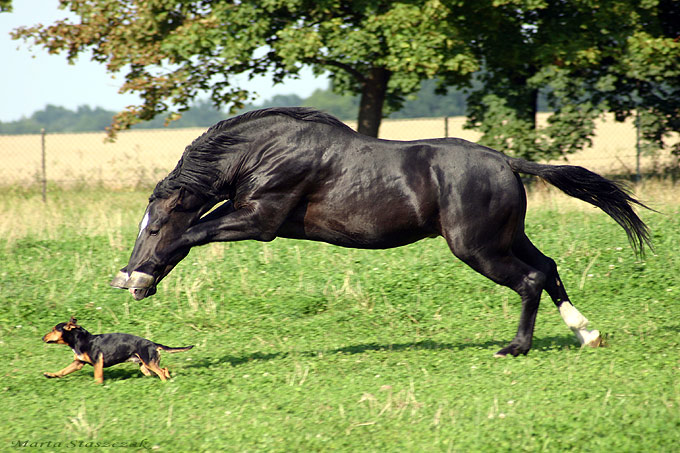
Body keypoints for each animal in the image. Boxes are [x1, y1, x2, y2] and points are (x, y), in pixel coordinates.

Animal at [41, 316, 193, 384]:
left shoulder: (97, 363)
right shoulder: (78, 363)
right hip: (145, 366)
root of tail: (153, 344)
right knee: (164, 370)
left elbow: (98, 376)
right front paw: (50, 374)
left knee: (161, 371)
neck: (80, 340)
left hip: (149, 362)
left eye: (54, 329)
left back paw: (165, 383)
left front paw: (98, 386)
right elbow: (62, 371)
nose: (42, 337)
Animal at [113, 107, 652, 356]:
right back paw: (587, 333)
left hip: (476, 247)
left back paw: (515, 347)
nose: (125, 281)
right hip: (506, 237)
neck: (265, 152)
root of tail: (505, 161)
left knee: (530, 279)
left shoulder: (259, 219)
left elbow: (192, 234)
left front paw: (146, 272)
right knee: (549, 267)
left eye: (154, 226)